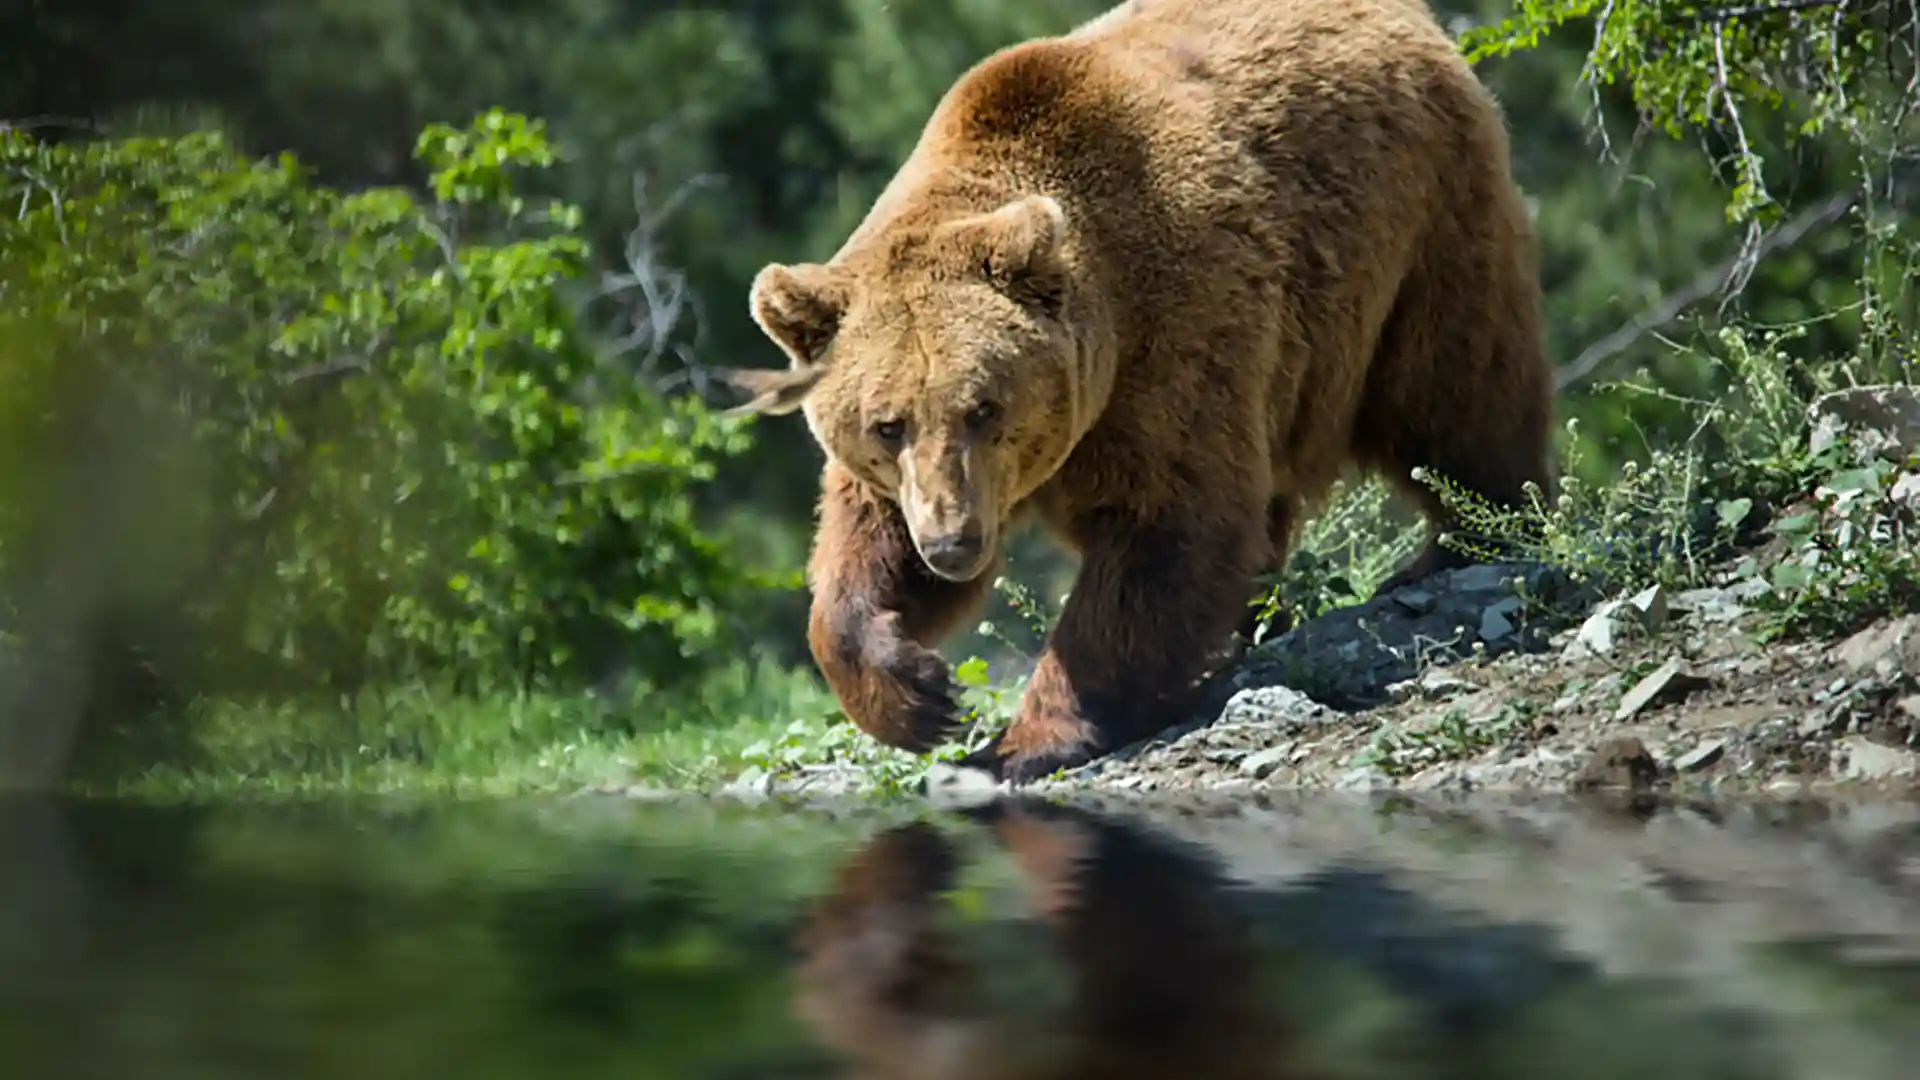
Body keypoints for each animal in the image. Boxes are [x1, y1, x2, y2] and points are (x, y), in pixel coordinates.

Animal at [714, 0, 1551, 776]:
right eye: (887, 425)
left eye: (986, 407)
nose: (954, 543)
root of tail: (1412, 18)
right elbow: (867, 544)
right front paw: (917, 693)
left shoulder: (1172, 337)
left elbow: (1166, 527)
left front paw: (1029, 738)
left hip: (1414, 230)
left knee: (1455, 394)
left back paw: (1468, 537)